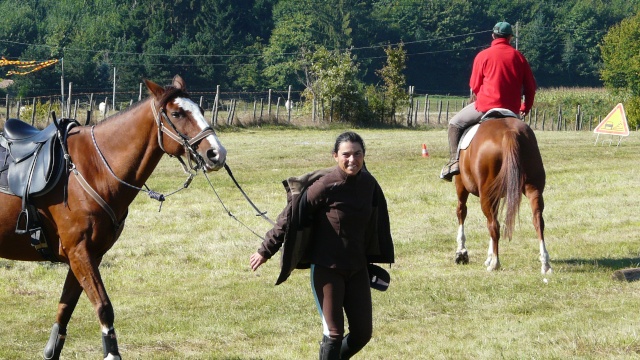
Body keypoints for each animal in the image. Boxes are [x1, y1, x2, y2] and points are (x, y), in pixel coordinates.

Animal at [0, 74, 229, 358]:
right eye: (176, 113)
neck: (94, 168)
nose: (216, 153)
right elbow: (104, 307)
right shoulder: (79, 252)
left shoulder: (89, 255)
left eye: (201, 110)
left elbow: (65, 309)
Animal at [452, 116, 552, 274]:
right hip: (533, 188)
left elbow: (461, 212)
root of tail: (509, 132)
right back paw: (545, 263)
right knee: (538, 221)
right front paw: (487, 256)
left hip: (485, 195)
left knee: (493, 225)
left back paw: (495, 263)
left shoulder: (461, 186)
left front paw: (461, 253)